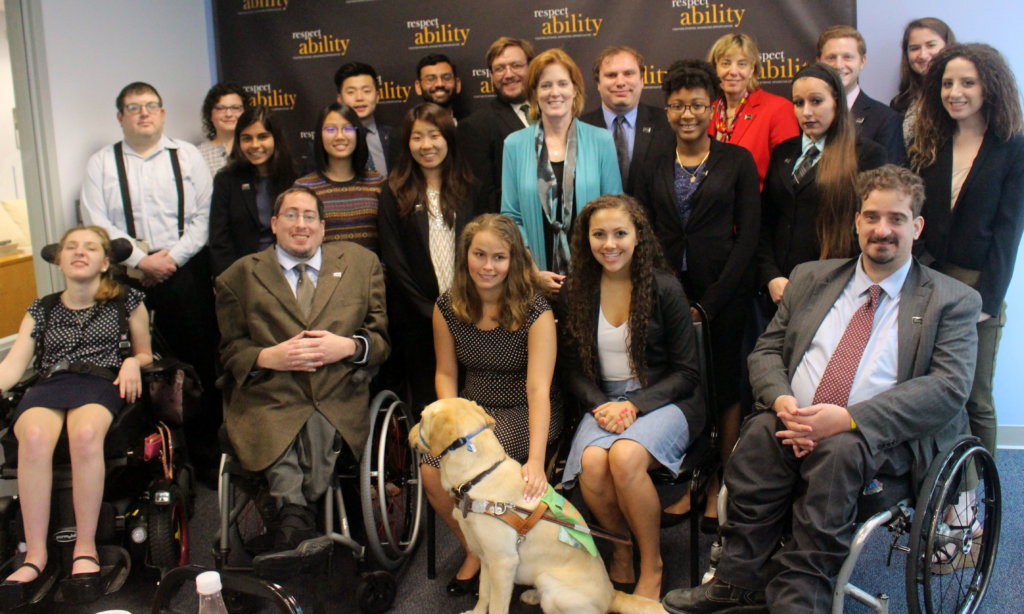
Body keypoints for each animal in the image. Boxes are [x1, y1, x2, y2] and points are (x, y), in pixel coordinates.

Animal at [411, 395, 667, 609]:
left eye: (422, 417)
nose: (409, 433)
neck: (479, 477)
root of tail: (612, 594)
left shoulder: (503, 563)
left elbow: (496, 606)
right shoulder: (485, 558)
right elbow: (483, 595)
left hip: (551, 584)